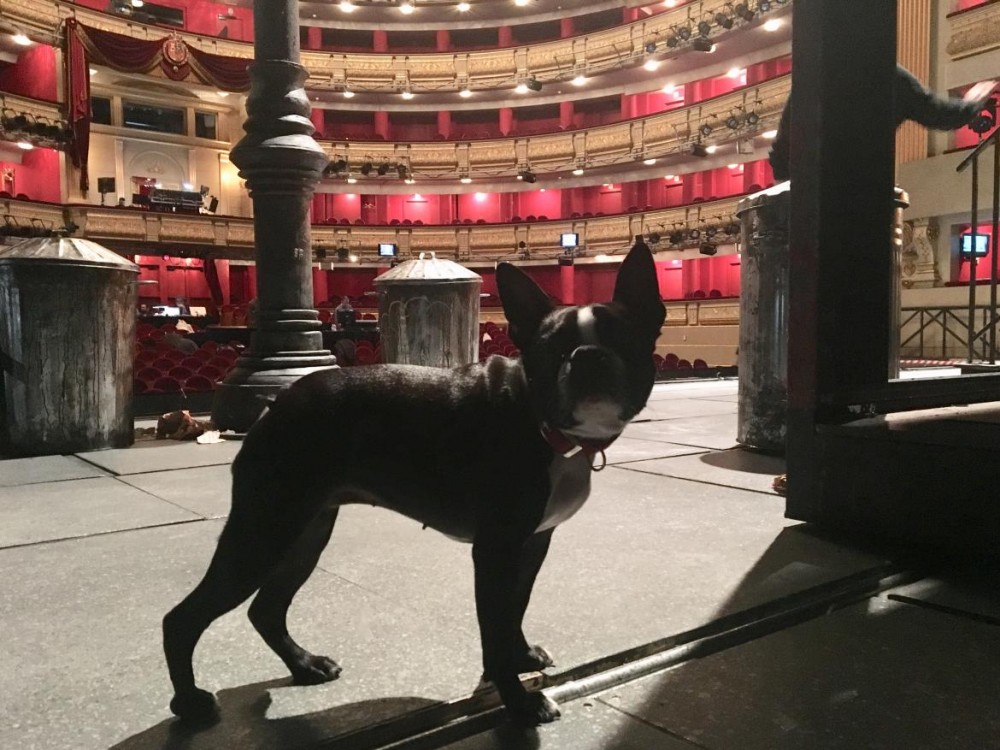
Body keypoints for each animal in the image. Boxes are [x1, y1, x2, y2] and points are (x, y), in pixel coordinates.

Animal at [162, 238, 665, 727]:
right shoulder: (497, 550)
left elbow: (514, 612)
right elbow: (495, 629)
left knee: (265, 609)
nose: (588, 356)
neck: (544, 424)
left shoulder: (531, 545)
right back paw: (190, 704)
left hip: (304, 531)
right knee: (182, 619)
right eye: (550, 350)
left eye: (625, 340)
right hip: (264, 530)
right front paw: (519, 703)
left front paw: (522, 657)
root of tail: (276, 403)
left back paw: (305, 666)